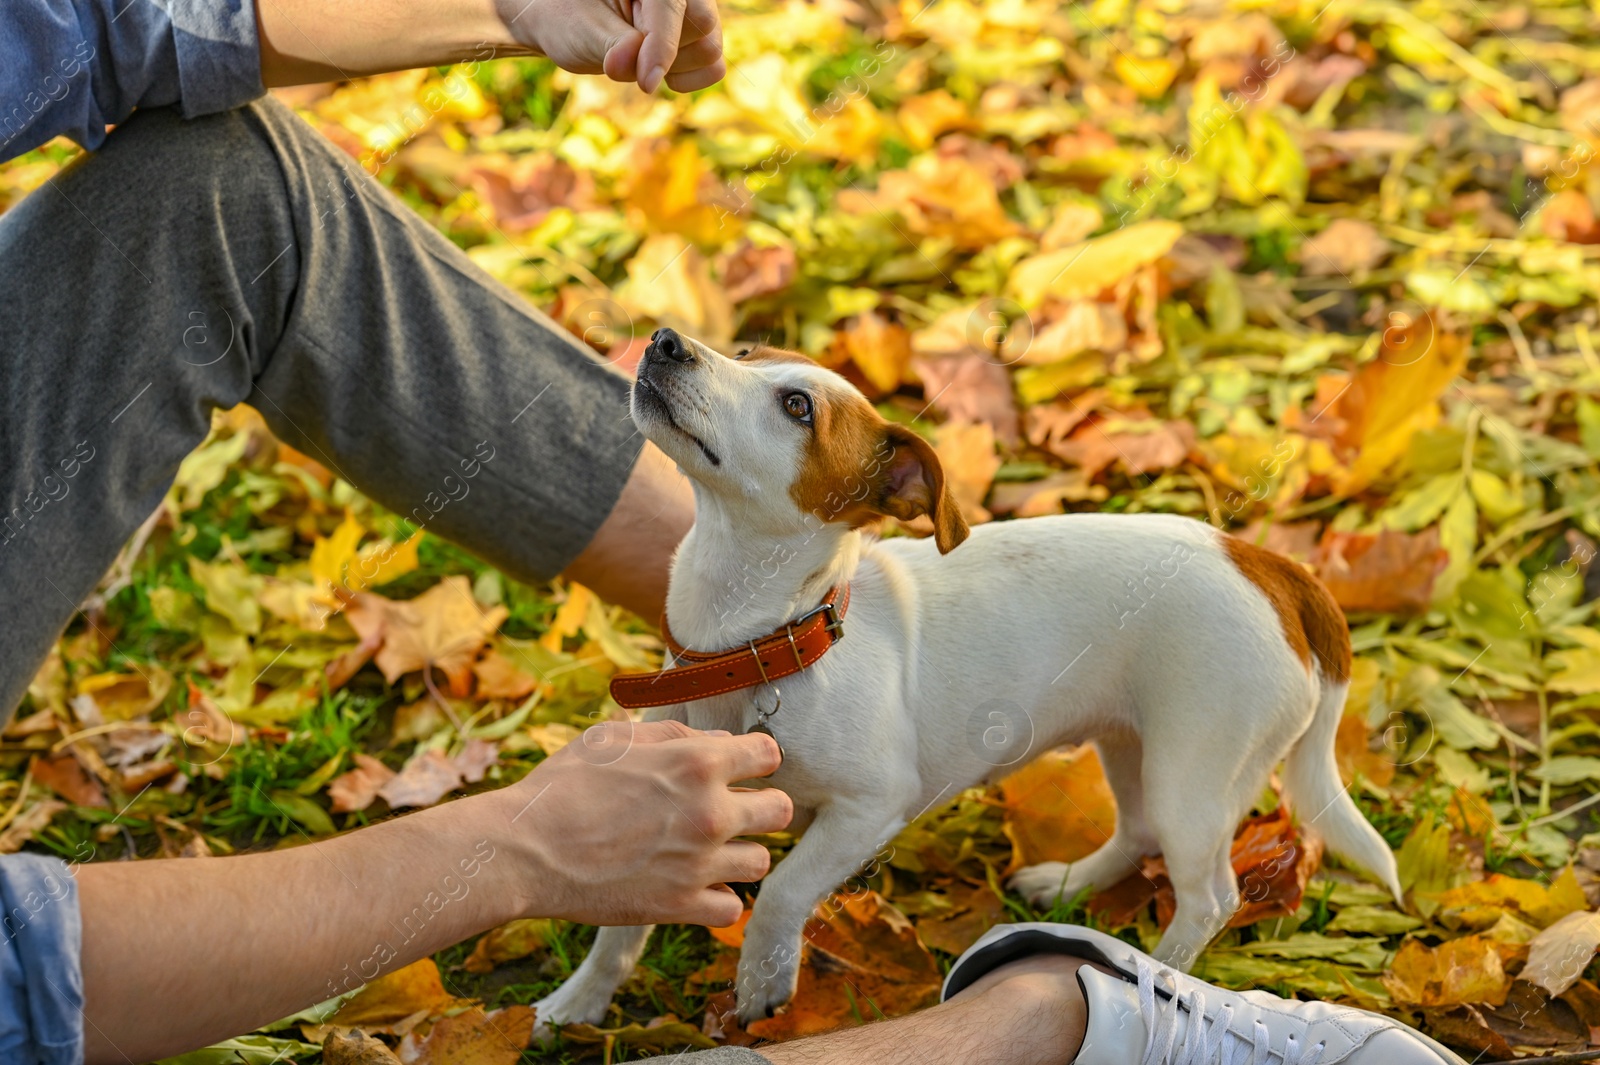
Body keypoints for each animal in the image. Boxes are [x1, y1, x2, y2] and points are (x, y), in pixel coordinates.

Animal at [528, 329, 1401, 1029]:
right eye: (743, 350)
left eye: (797, 406)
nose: (666, 340)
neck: (758, 640)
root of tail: (1271, 564)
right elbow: (620, 926)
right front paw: (577, 1003)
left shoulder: (870, 808)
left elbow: (781, 889)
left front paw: (762, 983)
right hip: (1132, 743)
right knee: (1138, 831)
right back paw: (1067, 886)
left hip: (1197, 773)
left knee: (1210, 893)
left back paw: (1164, 969)